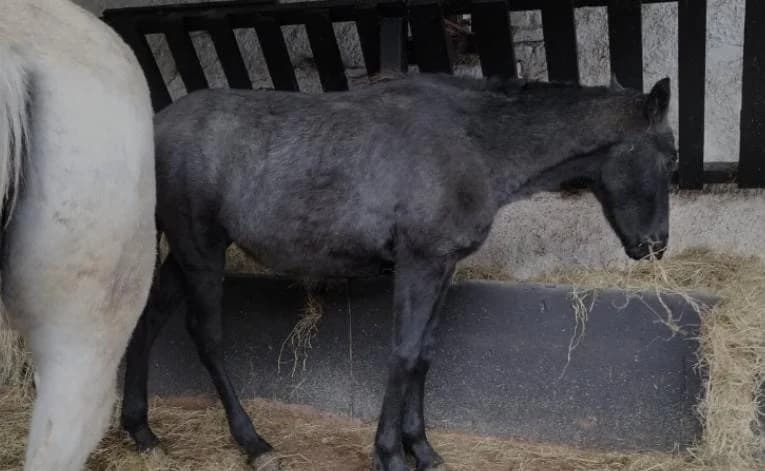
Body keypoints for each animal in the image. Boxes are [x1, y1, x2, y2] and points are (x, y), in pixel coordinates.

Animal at [121, 73, 676, 471]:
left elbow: (424, 355)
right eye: (669, 158)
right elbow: (404, 354)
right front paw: (389, 455)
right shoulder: (419, 263)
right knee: (206, 336)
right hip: (201, 250)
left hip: (185, 255)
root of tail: (155, 124)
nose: (655, 246)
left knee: (147, 323)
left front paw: (423, 450)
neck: (473, 142)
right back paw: (254, 443)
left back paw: (142, 431)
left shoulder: (443, 267)